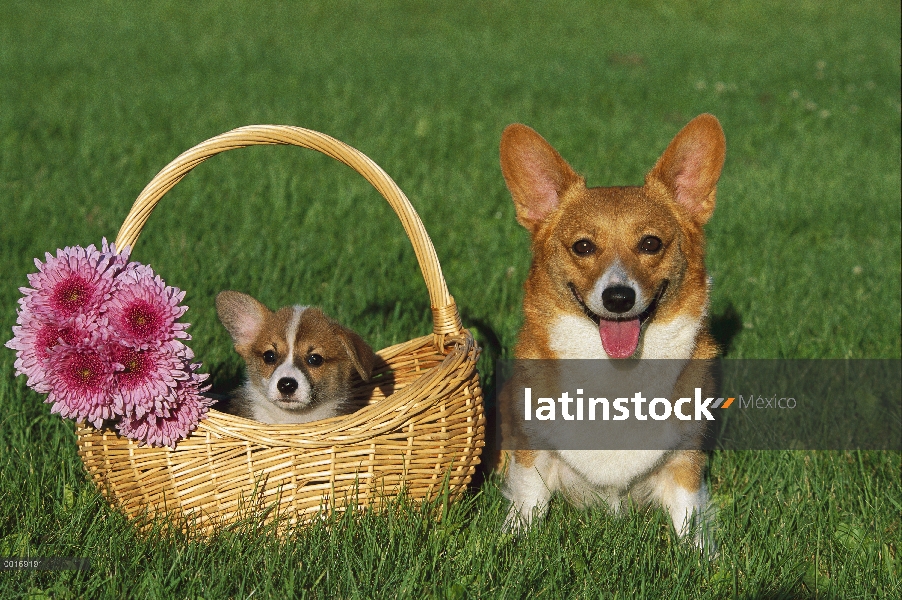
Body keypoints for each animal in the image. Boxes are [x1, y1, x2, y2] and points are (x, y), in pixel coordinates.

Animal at [498, 115, 732, 552]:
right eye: (583, 247)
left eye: (651, 243)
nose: (619, 297)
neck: (615, 373)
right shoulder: (533, 455)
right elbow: (527, 503)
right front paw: (511, 542)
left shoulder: (683, 464)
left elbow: (689, 519)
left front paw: (701, 557)